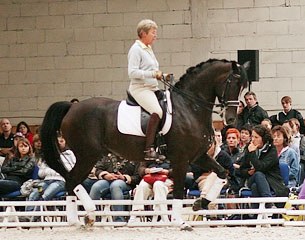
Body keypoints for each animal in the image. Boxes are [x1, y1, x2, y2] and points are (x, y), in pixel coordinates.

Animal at [39, 58, 247, 201]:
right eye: (233, 83)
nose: (231, 119)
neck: (189, 107)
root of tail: (72, 107)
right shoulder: (181, 159)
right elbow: (179, 194)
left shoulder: (198, 156)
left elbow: (223, 173)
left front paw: (200, 203)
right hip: (86, 155)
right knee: (71, 182)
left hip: (86, 156)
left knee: (72, 183)